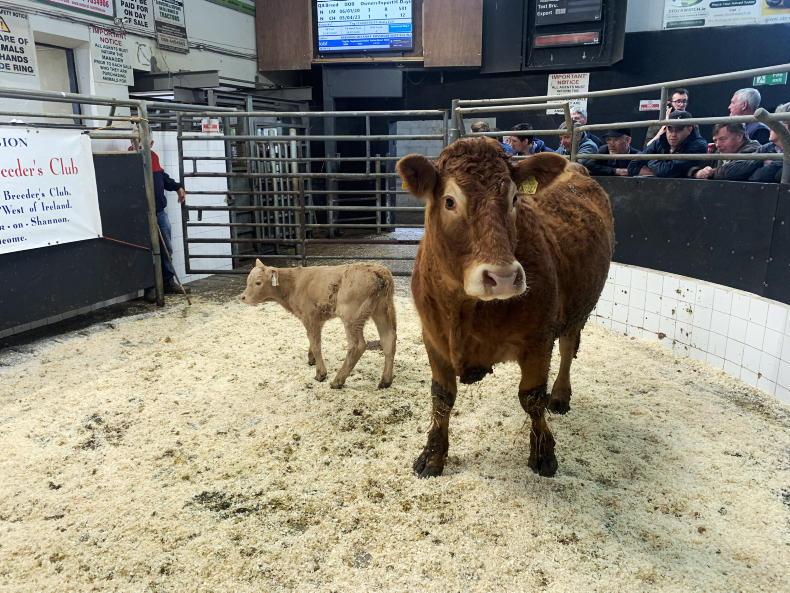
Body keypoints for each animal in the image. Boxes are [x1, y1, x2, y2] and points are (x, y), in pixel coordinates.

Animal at [240, 260, 397, 389]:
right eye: (248, 281)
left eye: (258, 282)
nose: (243, 297)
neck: (294, 284)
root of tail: (378, 271)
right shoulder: (318, 319)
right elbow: (312, 340)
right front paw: (311, 359)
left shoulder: (310, 318)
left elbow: (316, 344)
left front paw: (321, 374)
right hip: (382, 311)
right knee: (389, 340)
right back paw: (385, 381)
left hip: (351, 316)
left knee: (358, 345)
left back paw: (337, 381)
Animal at [397, 138, 614, 478]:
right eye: (449, 201)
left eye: (514, 198)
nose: (502, 278)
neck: (465, 310)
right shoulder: (433, 338)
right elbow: (442, 397)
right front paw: (432, 455)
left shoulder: (538, 340)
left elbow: (532, 398)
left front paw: (543, 454)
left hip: (577, 311)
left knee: (568, 349)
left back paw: (560, 395)